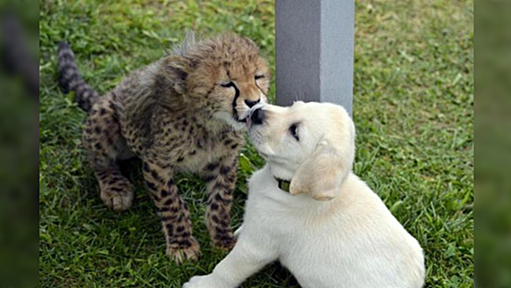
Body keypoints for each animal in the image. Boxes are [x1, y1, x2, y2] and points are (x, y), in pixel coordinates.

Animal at [184, 102, 424, 288]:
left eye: (295, 132)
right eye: (294, 105)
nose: (257, 112)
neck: (287, 186)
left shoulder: (257, 247)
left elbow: (226, 269)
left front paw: (202, 283)